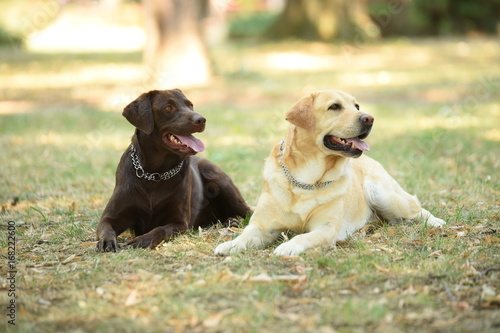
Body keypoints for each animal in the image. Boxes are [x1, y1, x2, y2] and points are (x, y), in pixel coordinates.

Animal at [95, 89, 250, 250]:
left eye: (190, 105)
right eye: (168, 108)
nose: (201, 120)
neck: (155, 173)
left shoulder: (179, 222)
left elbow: (160, 229)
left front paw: (142, 240)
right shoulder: (110, 217)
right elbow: (105, 228)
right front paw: (107, 241)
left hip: (220, 181)